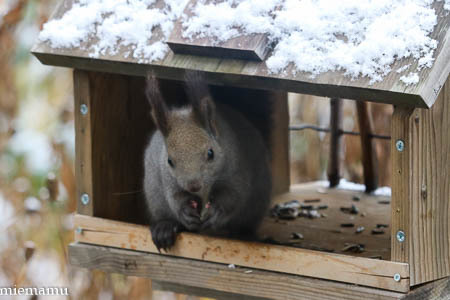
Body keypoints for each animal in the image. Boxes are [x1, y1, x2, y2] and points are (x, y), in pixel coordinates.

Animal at [143, 71, 270, 252]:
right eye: (169, 161)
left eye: (211, 153)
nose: (193, 185)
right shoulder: (168, 179)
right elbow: (175, 196)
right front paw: (185, 211)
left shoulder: (237, 170)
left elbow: (233, 195)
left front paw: (216, 211)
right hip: (154, 193)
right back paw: (164, 228)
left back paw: (244, 235)